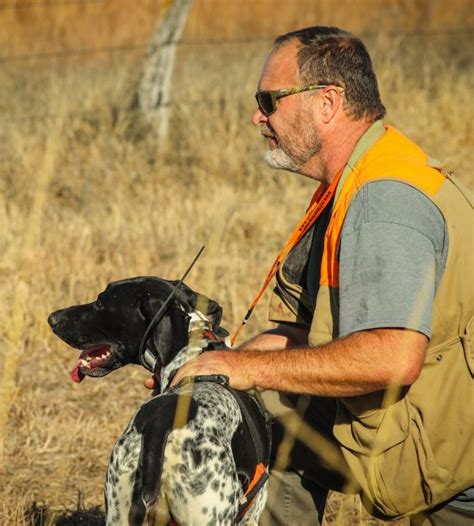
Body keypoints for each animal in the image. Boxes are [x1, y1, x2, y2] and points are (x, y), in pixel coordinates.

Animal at [49, 278, 270, 524]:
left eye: (100, 302)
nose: (52, 318)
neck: (190, 354)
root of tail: (160, 423)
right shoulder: (252, 512)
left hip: (118, 509)